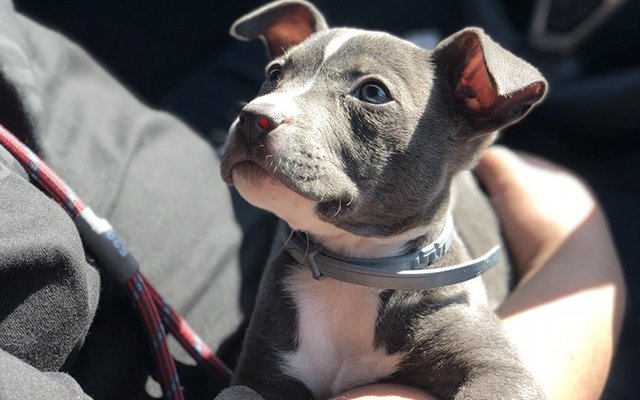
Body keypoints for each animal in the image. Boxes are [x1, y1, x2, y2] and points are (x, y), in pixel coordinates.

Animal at [219, 1, 544, 398]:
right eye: (274, 74)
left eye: (373, 93)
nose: (252, 118)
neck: (350, 269)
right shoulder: (263, 368)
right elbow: (237, 390)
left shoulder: (496, 368)